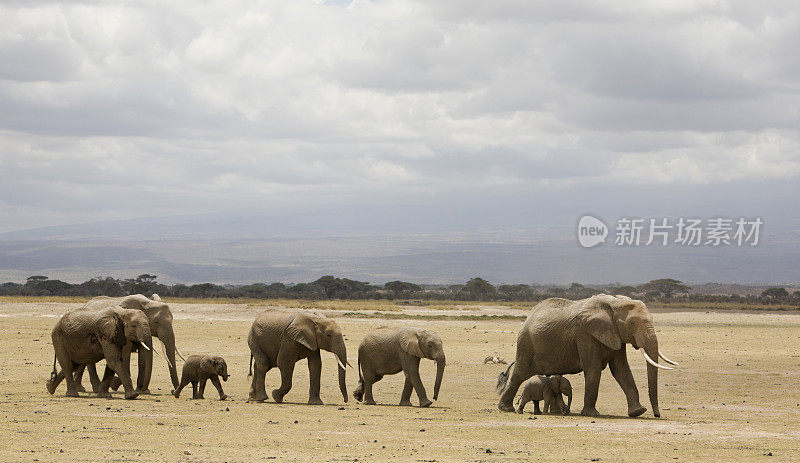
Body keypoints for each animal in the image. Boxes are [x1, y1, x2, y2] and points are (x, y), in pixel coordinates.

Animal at [496, 296, 680, 418]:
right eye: (632, 323)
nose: (657, 415)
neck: (614, 304)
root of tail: (529, 315)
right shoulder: (585, 334)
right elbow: (593, 369)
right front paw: (592, 414)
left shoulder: (615, 334)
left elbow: (621, 370)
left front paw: (637, 412)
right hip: (526, 343)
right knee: (519, 374)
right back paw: (506, 409)